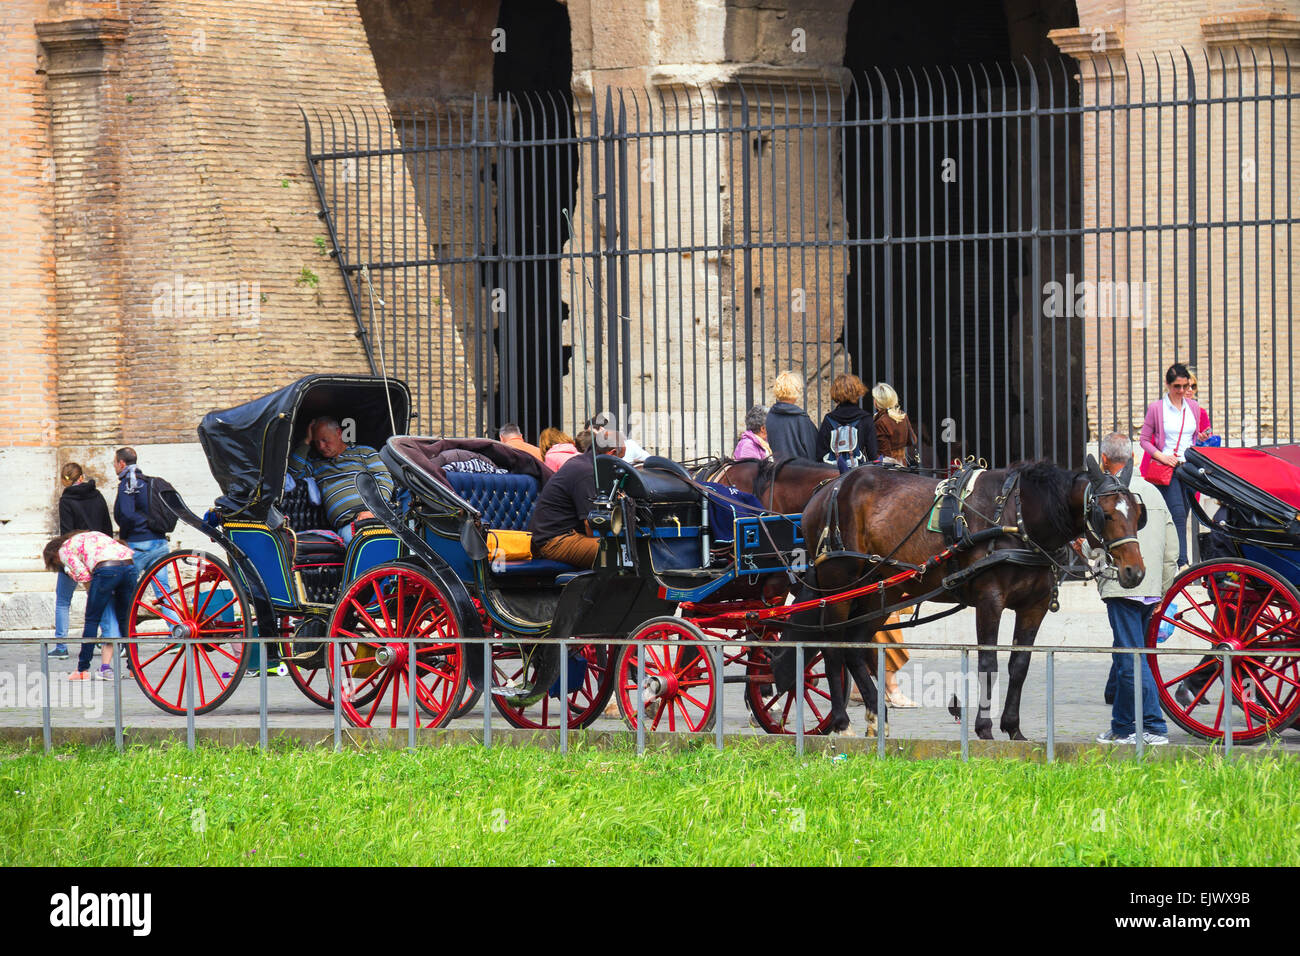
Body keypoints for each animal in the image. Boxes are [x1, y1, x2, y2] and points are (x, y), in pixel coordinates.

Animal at [790, 455, 1149, 738]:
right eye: (1106, 514)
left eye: (1137, 514)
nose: (1135, 571)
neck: (1019, 518)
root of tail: (828, 488)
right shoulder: (990, 600)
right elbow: (988, 663)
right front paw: (985, 728)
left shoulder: (1033, 607)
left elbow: (1019, 664)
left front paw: (1013, 729)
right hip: (839, 586)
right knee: (832, 647)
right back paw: (841, 722)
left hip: (880, 591)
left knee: (854, 644)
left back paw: (877, 716)